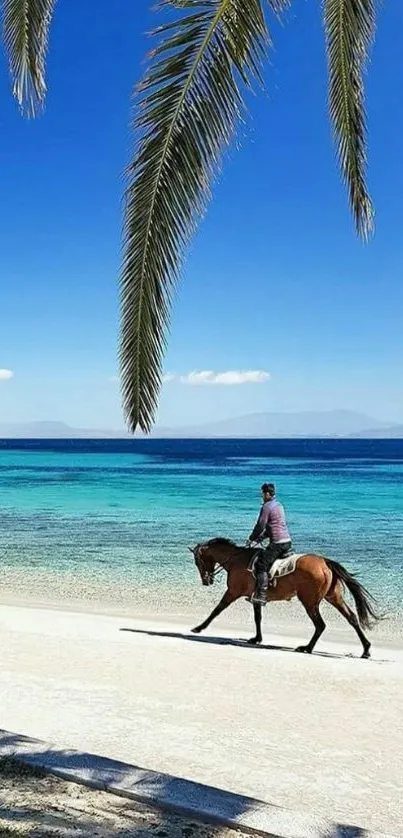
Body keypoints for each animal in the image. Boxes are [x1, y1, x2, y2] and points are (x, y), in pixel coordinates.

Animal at [189, 540, 382, 660]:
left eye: (198, 561)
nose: (206, 581)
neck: (236, 560)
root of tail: (325, 562)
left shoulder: (232, 592)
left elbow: (217, 609)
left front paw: (199, 628)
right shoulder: (255, 597)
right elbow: (257, 618)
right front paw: (257, 638)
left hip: (309, 601)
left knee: (320, 624)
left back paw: (307, 648)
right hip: (334, 598)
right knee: (352, 618)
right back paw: (366, 649)